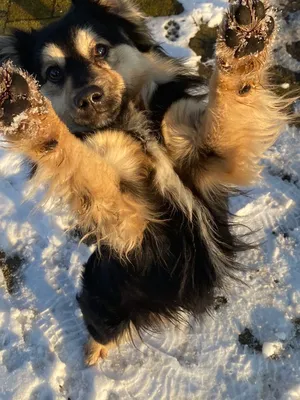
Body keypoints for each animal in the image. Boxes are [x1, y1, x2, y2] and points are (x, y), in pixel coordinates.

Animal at [0, 0, 290, 366]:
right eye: (53, 73)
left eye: (100, 49)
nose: (89, 97)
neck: (133, 124)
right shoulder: (131, 221)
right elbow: (84, 164)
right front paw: (30, 117)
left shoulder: (209, 155)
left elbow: (230, 105)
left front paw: (246, 40)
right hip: (103, 296)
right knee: (102, 327)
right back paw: (94, 351)